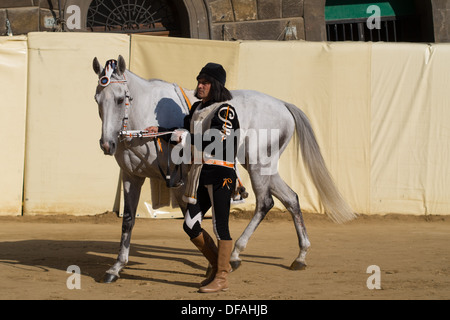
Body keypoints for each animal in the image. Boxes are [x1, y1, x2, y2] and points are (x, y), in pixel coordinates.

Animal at [93, 55, 356, 282]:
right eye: (97, 99)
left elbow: (194, 221)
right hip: (266, 168)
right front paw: (116, 267)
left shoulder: (178, 181)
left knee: (265, 203)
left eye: (119, 99)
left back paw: (236, 253)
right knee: (291, 199)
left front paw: (214, 264)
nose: (107, 144)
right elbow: (128, 220)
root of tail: (282, 104)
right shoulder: (132, 177)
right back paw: (300, 255)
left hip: (258, 166)